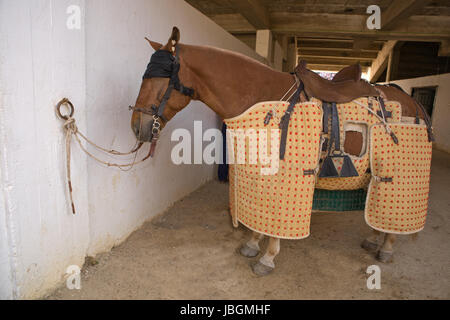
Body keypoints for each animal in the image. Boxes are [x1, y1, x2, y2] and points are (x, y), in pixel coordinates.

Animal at [129, 27, 428, 276]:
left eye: (159, 80)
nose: (136, 126)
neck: (262, 96)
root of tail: (411, 101)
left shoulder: (285, 177)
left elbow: (275, 223)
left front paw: (267, 258)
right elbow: (258, 213)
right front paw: (252, 245)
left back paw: (386, 246)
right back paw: (375, 238)